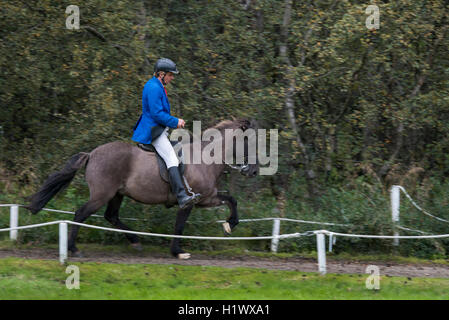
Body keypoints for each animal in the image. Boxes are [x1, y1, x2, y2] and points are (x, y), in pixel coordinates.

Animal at [25, 119, 260, 258]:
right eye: (250, 142)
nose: (254, 171)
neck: (205, 159)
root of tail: (92, 154)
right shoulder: (195, 201)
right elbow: (181, 225)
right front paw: (178, 251)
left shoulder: (207, 198)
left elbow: (231, 200)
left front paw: (230, 224)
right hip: (102, 195)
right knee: (81, 213)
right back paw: (73, 248)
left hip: (116, 194)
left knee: (111, 216)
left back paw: (135, 241)